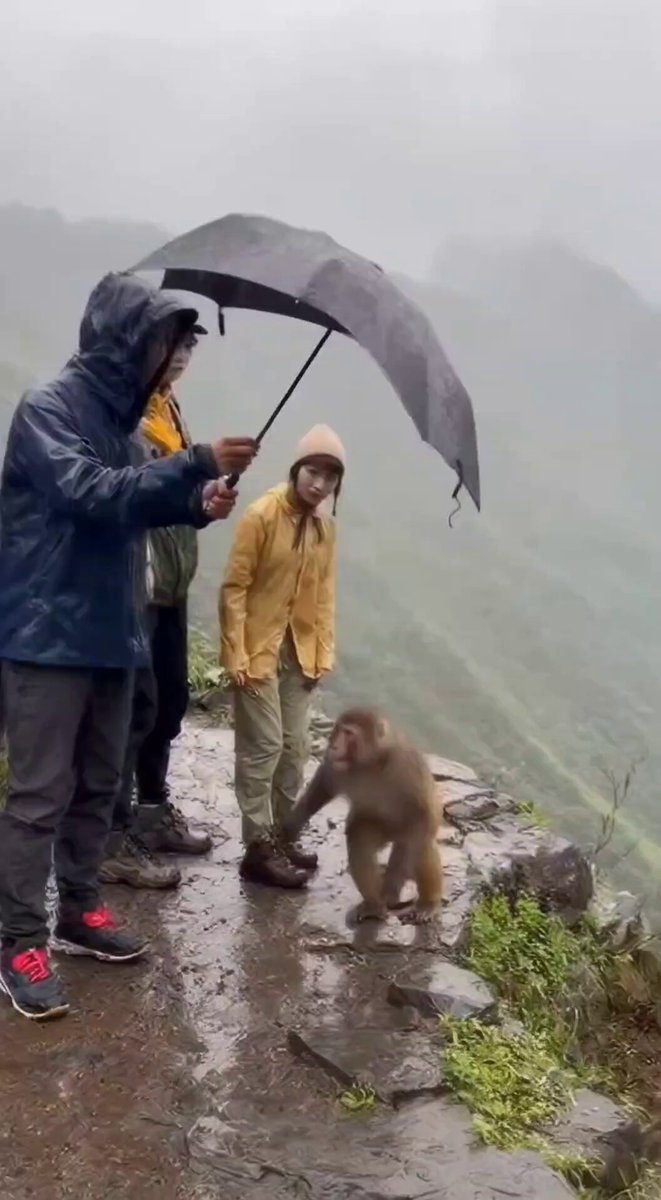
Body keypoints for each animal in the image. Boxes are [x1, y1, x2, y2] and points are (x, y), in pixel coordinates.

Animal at [281, 706, 443, 924]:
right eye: (339, 729)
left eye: (349, 734)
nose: (335, 745)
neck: (372, 763)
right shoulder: (338, 767)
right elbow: (324, 785)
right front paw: (293, 824)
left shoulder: (407, 767)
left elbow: (422, 811)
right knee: (360, 836)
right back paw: (375, 905)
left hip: (404, 829)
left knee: (420, 842)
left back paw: (427, 903)